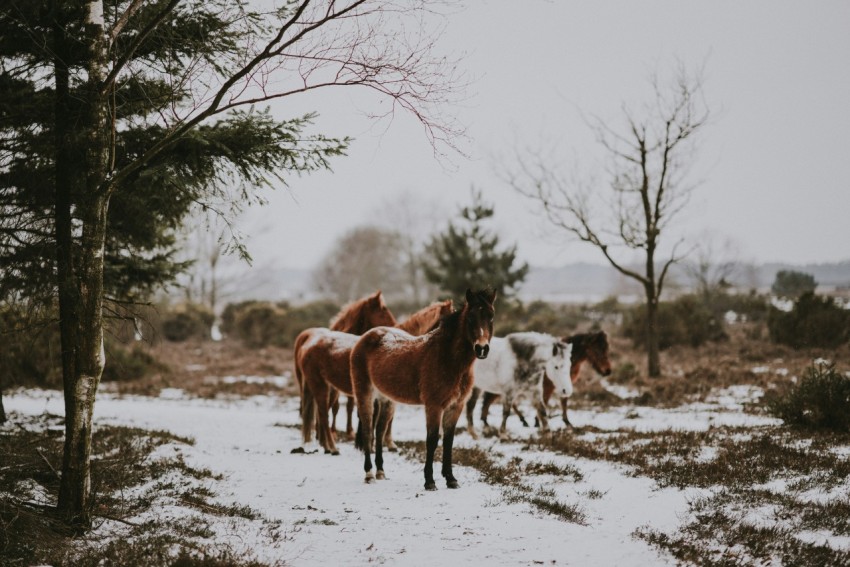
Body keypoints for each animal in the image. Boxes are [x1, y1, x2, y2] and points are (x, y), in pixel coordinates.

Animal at [294, 290, 396, 454]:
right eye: (383, 310)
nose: (395, 327)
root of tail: (307, 345)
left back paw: (327, 445)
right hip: (321, 387)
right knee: (323, 415)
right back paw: (332, 447)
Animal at [352, 290, 496, 490]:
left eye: (491, 317)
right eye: (470, 318)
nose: (482, 348)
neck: (448, 359)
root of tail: (365, 337)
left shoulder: (455, 406)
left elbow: (448, 441)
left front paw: (451, 479)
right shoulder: (434, 406)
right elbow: (432, 439)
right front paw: (429, 481)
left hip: (386, 399)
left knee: (379, 430)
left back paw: (380, 471)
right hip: (364, 393)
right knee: (367, 430)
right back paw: (369, 474)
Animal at [476, 330, 608, 428]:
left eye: (606, 349)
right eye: (597, 350)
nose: (608, 371)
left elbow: (562, 401)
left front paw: (566, 422)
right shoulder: (548, 387)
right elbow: (547, 401)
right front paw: (538, 422)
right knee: (491, 400)